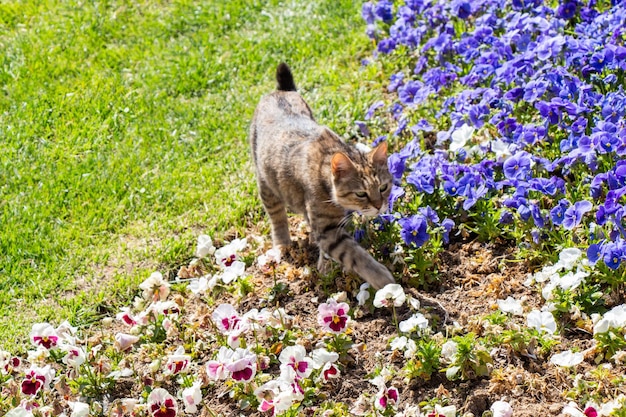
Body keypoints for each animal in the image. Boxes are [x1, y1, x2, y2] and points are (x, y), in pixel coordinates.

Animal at [246, 62, 392, 290]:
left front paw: (325, 266)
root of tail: (281, 91)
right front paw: (383, 279)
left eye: (383, 188)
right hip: (266, 185)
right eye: (361, 194)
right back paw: (282, 244)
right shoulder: (327, 229)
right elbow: (355, 255)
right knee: (276, 217)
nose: (379, 206)